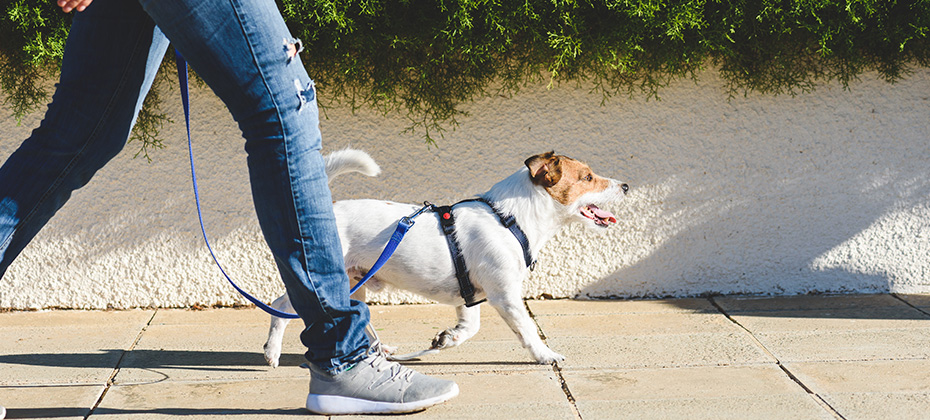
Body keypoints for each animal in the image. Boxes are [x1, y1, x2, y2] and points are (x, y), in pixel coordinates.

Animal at [260, 149, 628, 366]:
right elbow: (527, 330)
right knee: (280, 306)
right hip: (324, 280)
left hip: (355, 283)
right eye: (588, 177)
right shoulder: (505, 295)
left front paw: (447, 339)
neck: (510, 218)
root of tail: (328, 210)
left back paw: (381, 351)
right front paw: (545, 355)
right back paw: (272, 352)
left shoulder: (471, 296)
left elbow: (469, 327)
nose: (625, 186)